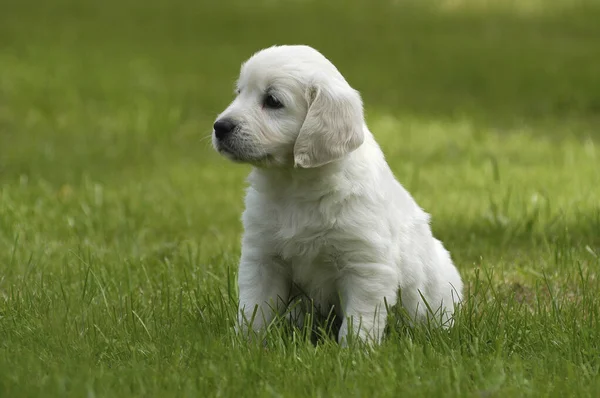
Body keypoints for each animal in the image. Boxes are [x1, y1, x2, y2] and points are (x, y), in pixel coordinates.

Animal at [212, 44, 464, 346]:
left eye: (272, 101)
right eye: (239, 92)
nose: (219, 126)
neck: (294, 185)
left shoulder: (366, 265)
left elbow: (360, 320)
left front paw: (354, 352)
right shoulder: (262, 257)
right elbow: (254, 308)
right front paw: (246, 345)